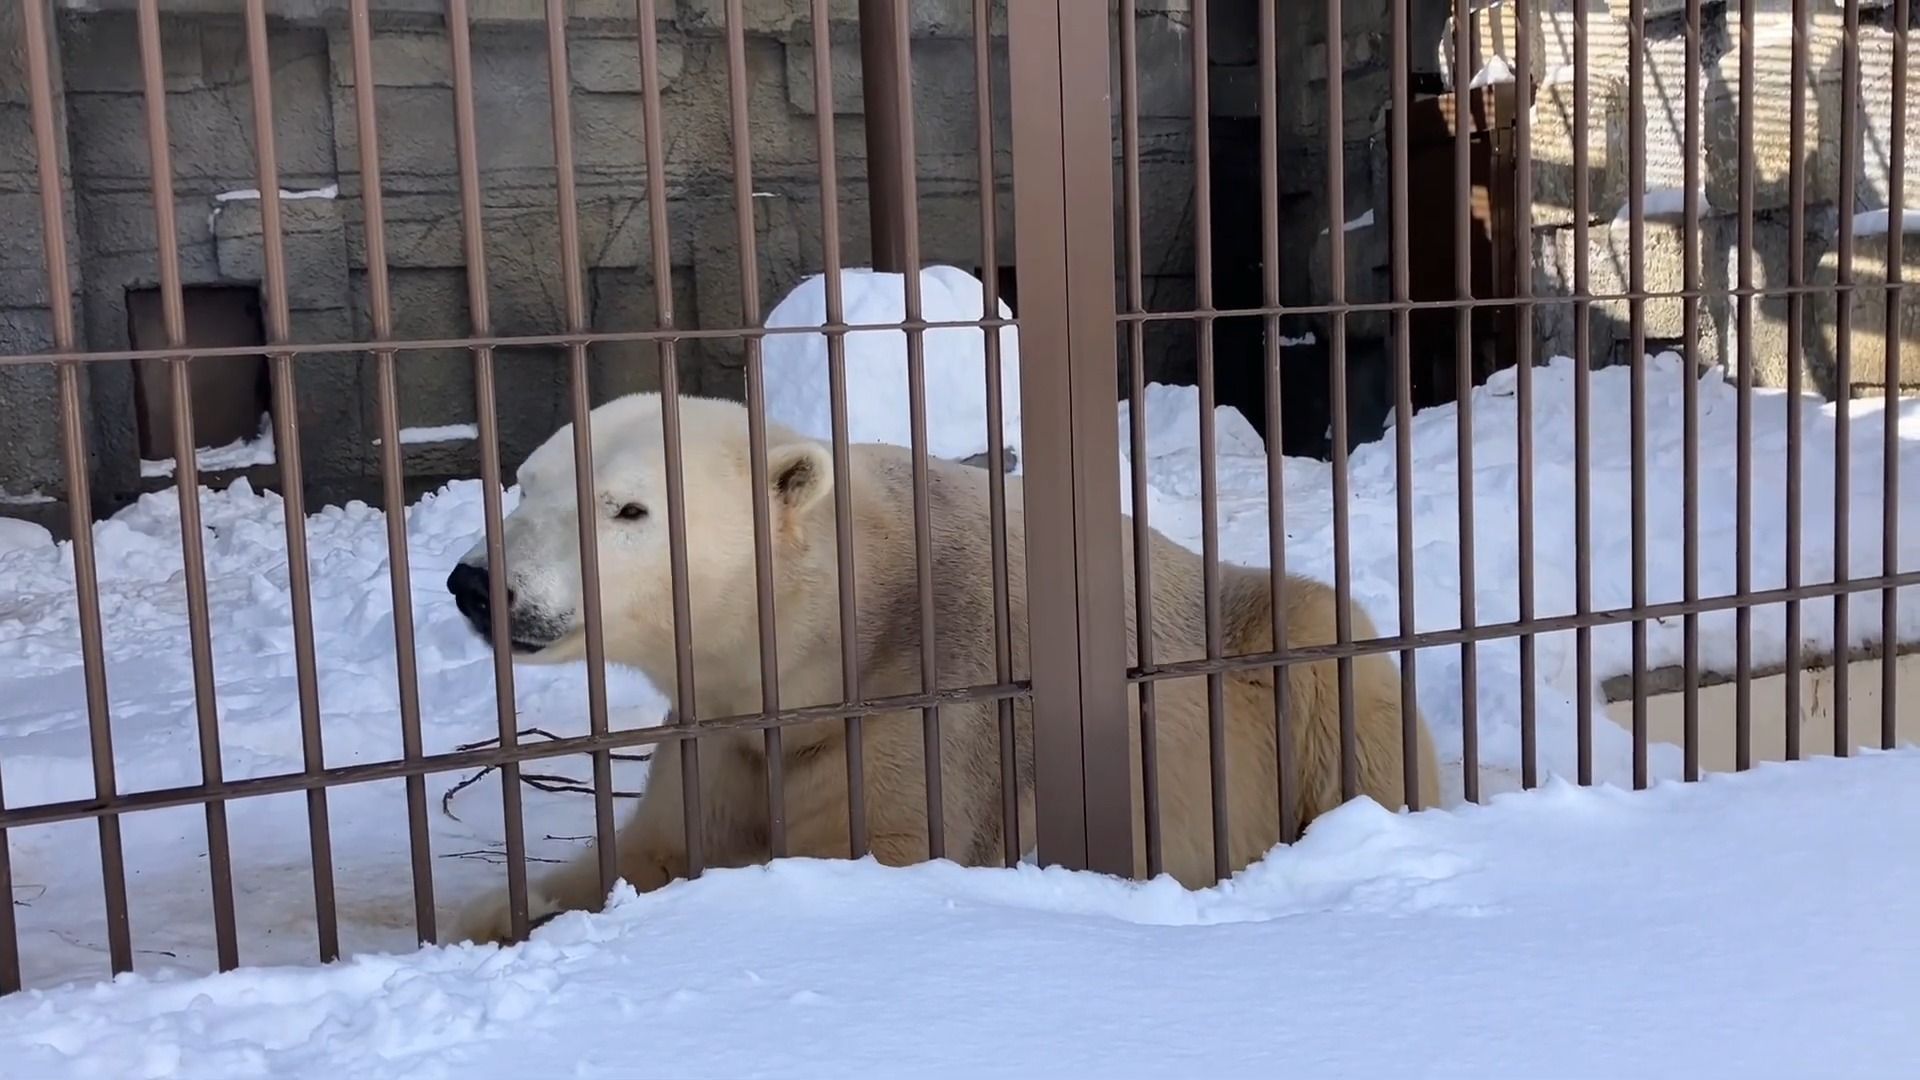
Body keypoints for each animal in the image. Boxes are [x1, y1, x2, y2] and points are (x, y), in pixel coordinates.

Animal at [449, 390, 1443, 937]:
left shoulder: (939, 710)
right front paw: (509, 912)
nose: (477, 582)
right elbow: (653, 847)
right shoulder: (724, 733)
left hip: (1280, 658)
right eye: (526, 484)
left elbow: (879, 851)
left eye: (627, 509)